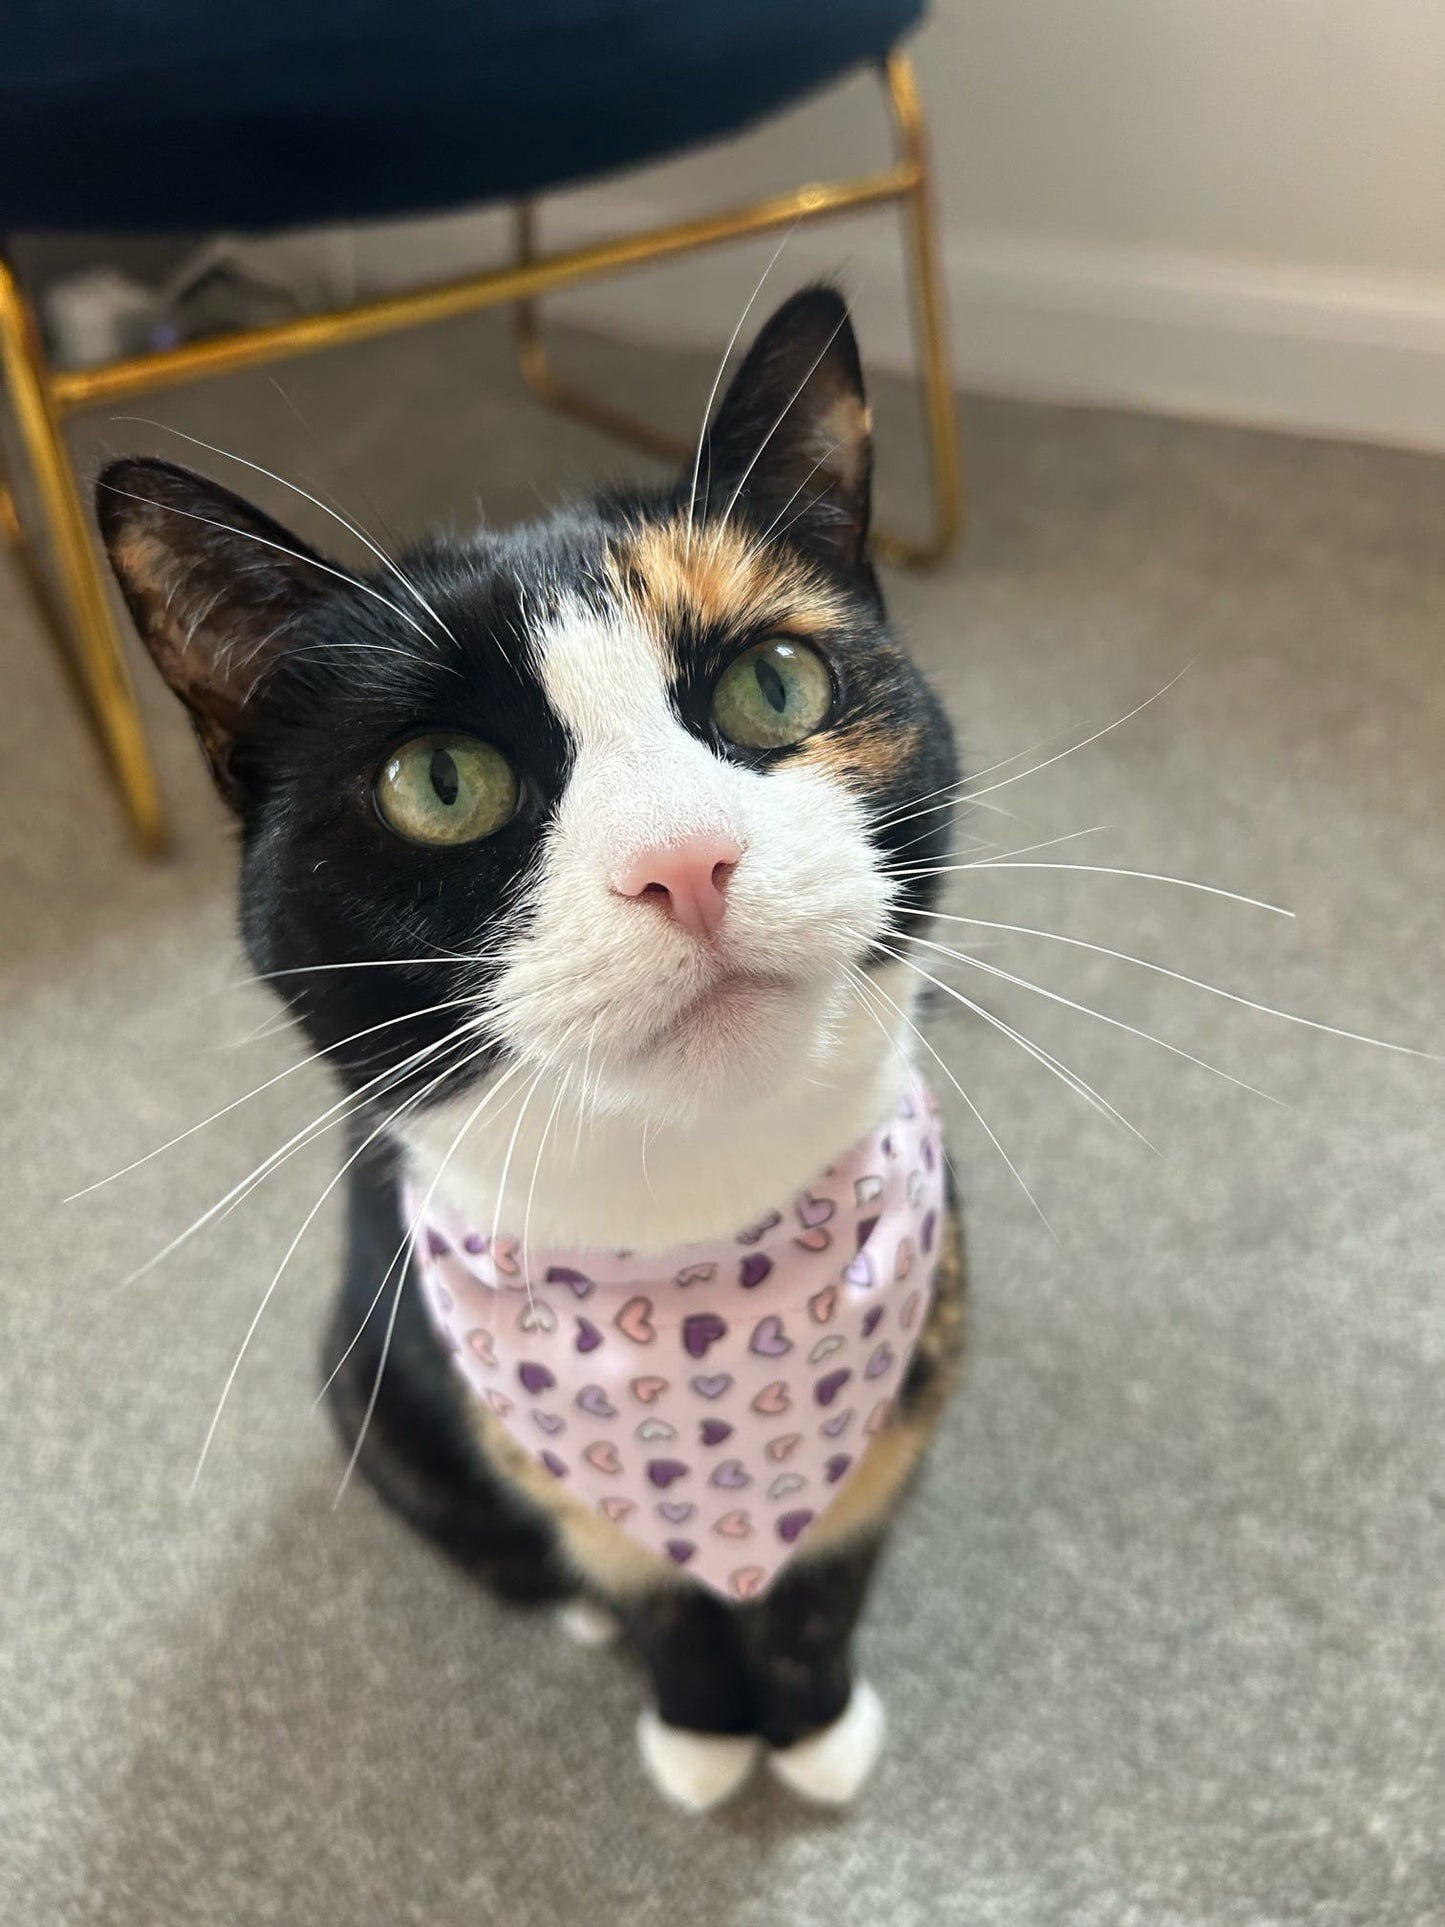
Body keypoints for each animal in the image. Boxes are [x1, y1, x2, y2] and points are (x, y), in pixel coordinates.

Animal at [96, 281, 967, 1803]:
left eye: (777, 684)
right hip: (365, 1381)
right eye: (441, 779)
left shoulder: (921, 1358)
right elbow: (644, 1585)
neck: (691, 1248)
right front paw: (699, 1733)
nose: (685, 859)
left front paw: (812, 1729)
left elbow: (834, 1567)